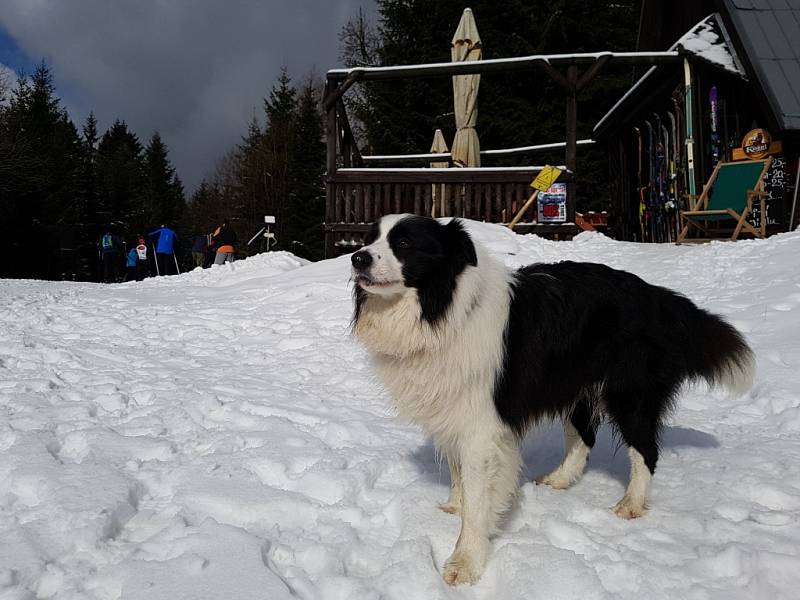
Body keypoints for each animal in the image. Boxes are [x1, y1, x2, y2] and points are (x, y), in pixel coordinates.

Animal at [350, 216, 752, 584]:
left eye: (404, 243)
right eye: (370, 238)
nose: (357, 258)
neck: (443, 309)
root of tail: (656, 295)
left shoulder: (482, 425)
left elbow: (479, 499)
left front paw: (465, 563)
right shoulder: (453, 408)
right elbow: (458, 472)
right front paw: (455, 505)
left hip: (629, 392)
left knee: (645, 450)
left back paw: (631, 505)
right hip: (574, 384)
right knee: (585, 437)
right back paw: (560, 480)